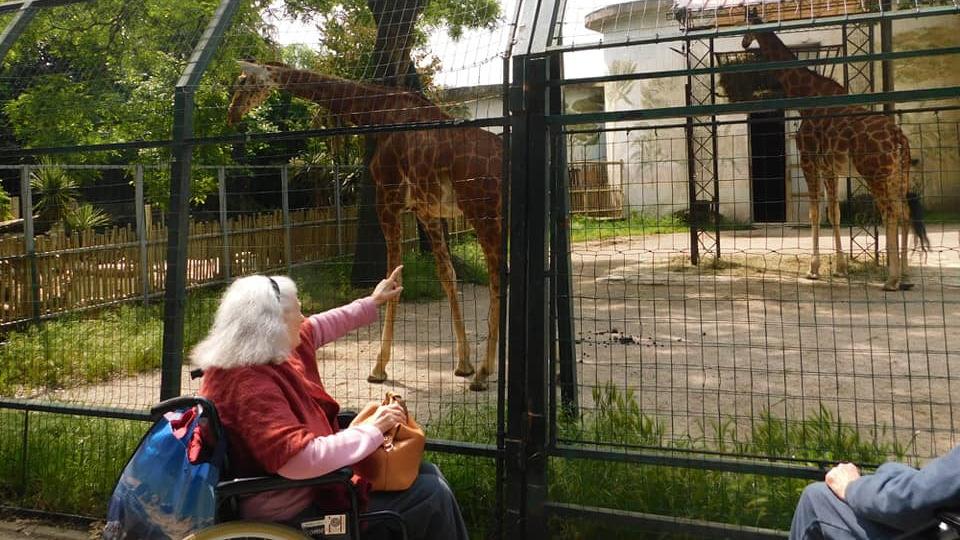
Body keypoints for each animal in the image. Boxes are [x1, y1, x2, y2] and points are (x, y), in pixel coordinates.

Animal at [226, 61, 502, 390]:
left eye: (244, 81)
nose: (231, 113)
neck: (377, 111)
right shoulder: (426, 211)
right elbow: (447, 274)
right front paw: (463, 364)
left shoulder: (388, 199)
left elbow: (394, 277)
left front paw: (379, 368)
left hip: (483, 210)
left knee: (499, 276)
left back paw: (486, 373)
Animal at [744, 21, 924, 292]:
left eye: (747, 23)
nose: (744, 42)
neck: (806, 98)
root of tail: (899, 138)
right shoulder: (831, 168)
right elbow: (834, 214)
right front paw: (840, 268)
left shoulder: (809, 160)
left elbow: (814, 214)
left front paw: (813, 269)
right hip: (898, 174)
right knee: (904, 212)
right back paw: (906, 275)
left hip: (875, 174)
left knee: (890, 213)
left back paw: (892, 280)